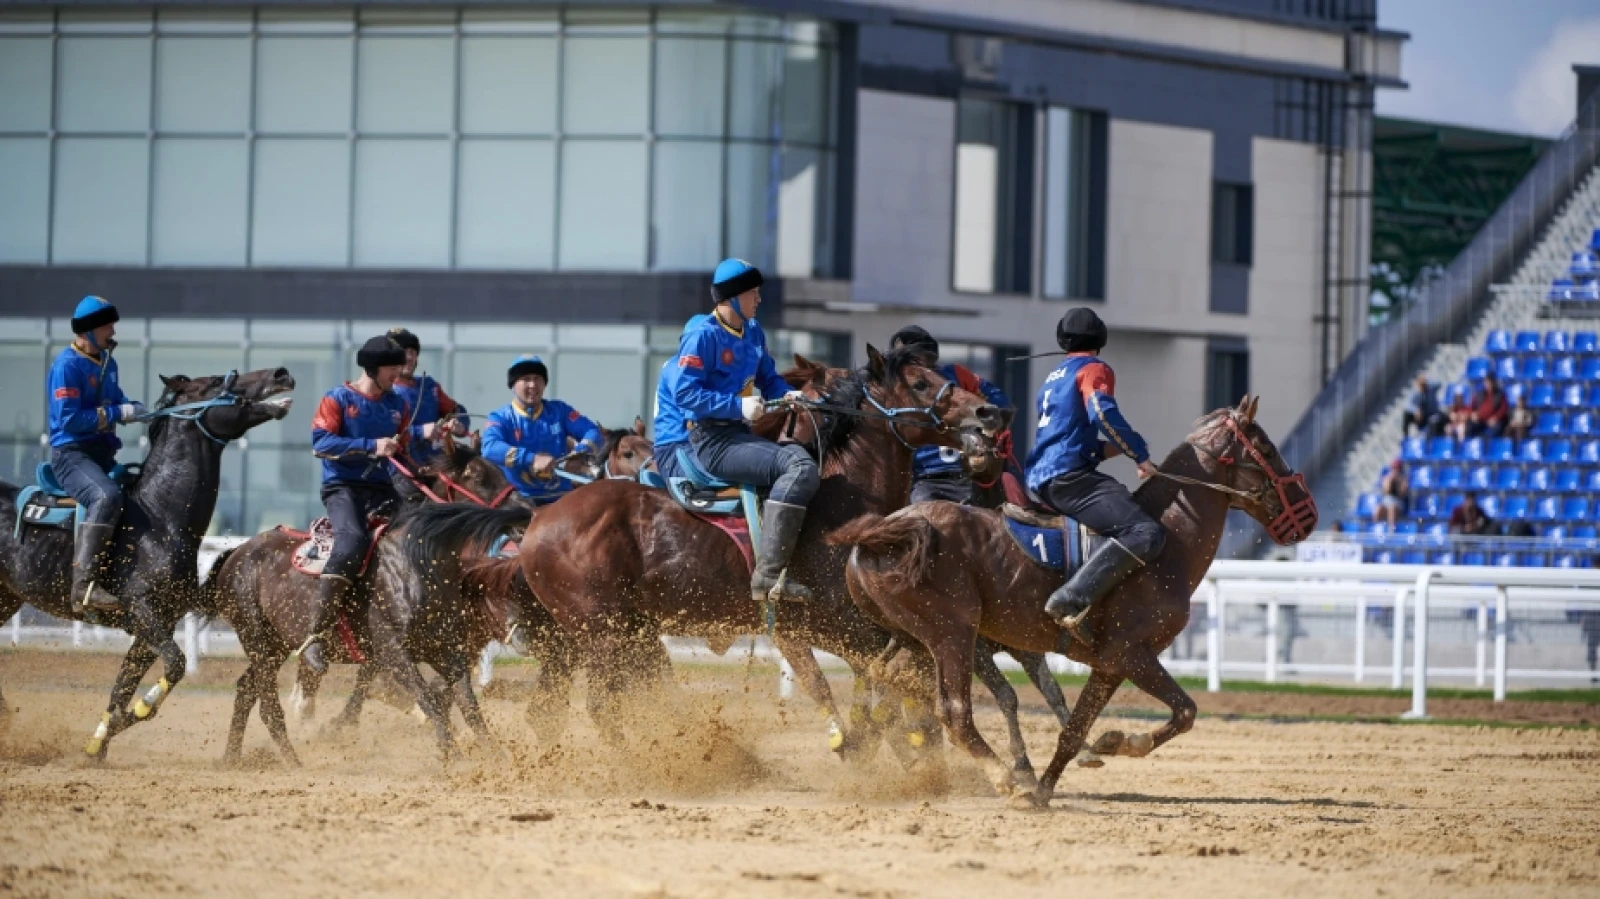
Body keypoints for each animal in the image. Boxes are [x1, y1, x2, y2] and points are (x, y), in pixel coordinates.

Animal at [0, 367, 294, 751]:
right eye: (218, 380)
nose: (281, 373)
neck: (158, 518)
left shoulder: (155, 627)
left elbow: (121, 691)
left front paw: (98, 746)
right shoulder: (144, 614)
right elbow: (175, 667)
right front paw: (133, 714)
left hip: (6, 599)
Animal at [406, 347, 1004, 745]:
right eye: (921, 383)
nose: (988, 413)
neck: (839, 502)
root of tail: (538, 520)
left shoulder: (858, 627)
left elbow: (888, 671)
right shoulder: (813, 625)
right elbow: (843, 681)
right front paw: (860, 742)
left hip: (583, 638)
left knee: (549, 711)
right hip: (603, 634)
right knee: (599, 706)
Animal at [832, 395, 1318, 799]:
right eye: (1267, 449)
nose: (1309, 512)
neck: (1167, 545)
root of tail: (888, 530)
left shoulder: (1109, 665)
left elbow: (1074, 730)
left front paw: (1052, 783)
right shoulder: (1131, 654)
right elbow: (1185, 710)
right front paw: (1119, 742)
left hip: (915, 638)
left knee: (884, 674)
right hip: (953, 634)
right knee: (953, 710)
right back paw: (1002, 775)